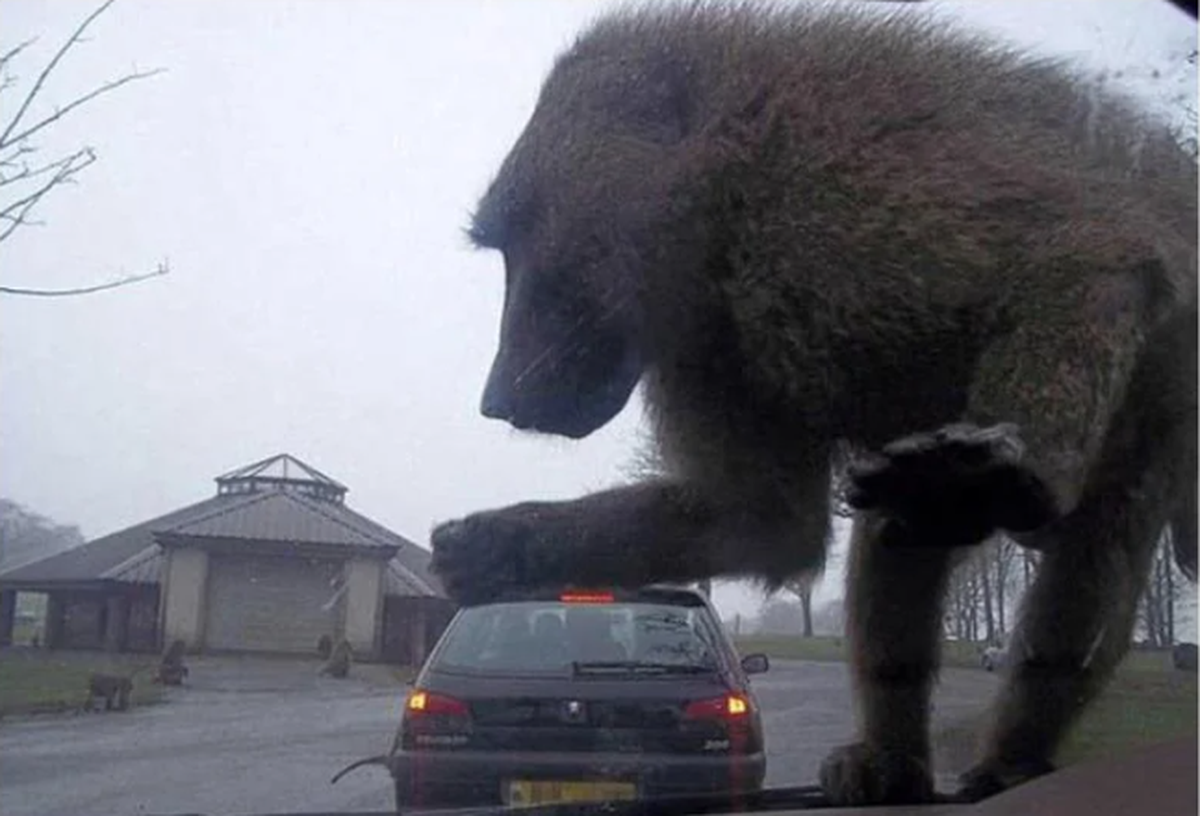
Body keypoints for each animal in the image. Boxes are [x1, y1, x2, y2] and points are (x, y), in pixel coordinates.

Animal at [428, 1, 1197, 806]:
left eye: (520, 235)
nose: (496, 399)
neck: (720, 184)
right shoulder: (714, 348)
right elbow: (767, 522)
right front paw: (500, 547)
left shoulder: (836, 200)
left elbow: (1089, 247)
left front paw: (1001, 478)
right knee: (902, 528)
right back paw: (895, 762)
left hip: (1169, 385)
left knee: (1094, 541)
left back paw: (1010, 753)